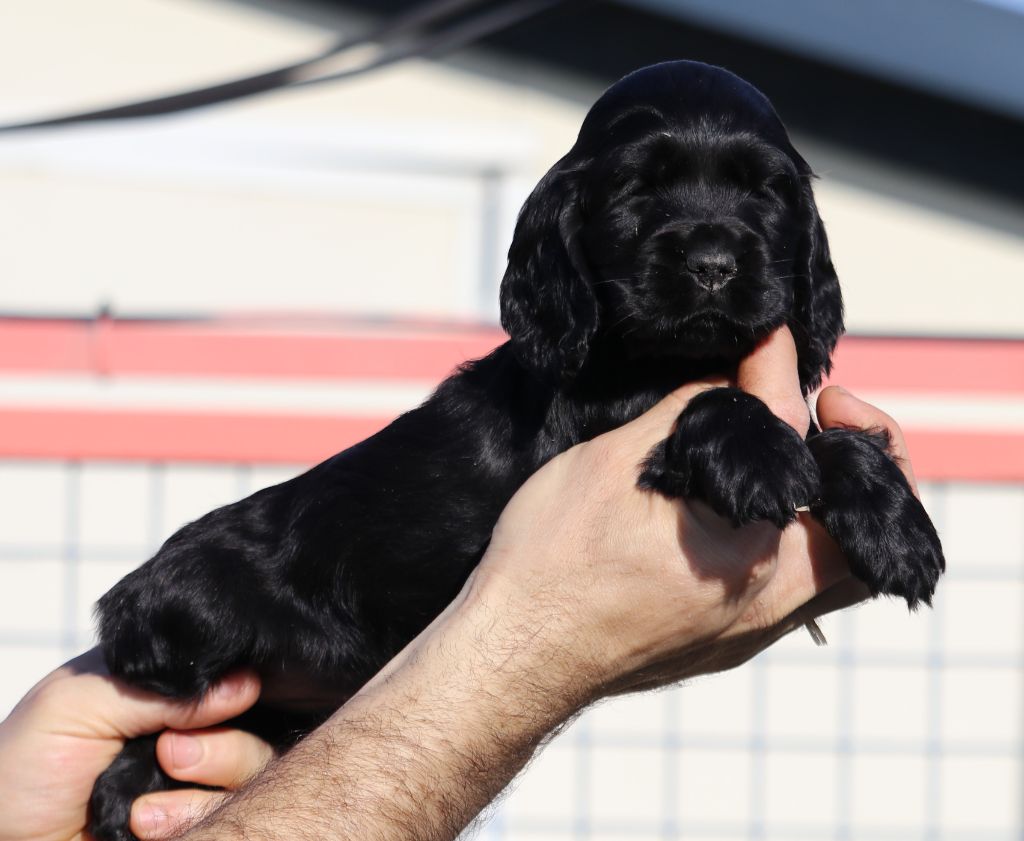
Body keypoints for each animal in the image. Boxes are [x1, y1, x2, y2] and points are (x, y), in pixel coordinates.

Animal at [88, 61, 944, 840]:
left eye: (765, 192)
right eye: (637, 192)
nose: (711, 265)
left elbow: (826, 432)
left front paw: (896, 524)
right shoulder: (600, 419)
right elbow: (720, 405)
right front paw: (760, 455)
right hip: (186, 617)